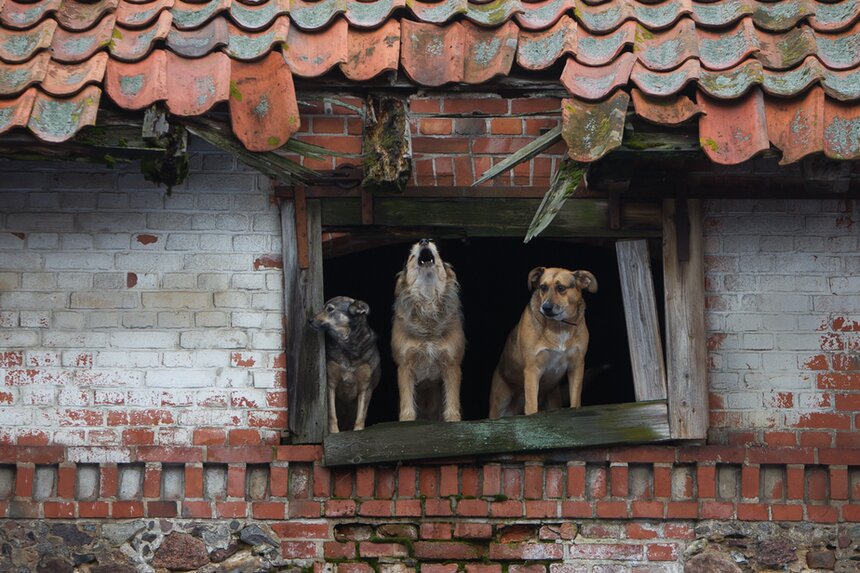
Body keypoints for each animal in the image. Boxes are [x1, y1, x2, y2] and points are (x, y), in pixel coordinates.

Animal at [308, 298, 378, 432]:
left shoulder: (366, 387)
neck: (347, 343)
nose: (309, 320)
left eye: (329, 309)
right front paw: (334, 432)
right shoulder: (330, 385)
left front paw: (358, 431)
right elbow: (332, 414)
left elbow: (360, 416)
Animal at [394, 237, 466, 420]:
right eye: (411, 257)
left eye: (438, 253)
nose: (424, 240)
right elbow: (406, 402)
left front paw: (453, 419)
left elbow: (452, 399)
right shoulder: (405, 365)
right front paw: (406, 421)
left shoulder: (452, 364)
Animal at [490, 266, 596, 418]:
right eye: (543, 287)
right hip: (499, 404)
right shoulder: (532, 369)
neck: (559, 325)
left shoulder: (577, 366)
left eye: (560, 288)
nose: (545, 307)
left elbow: (575, 401)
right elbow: (532, 407)